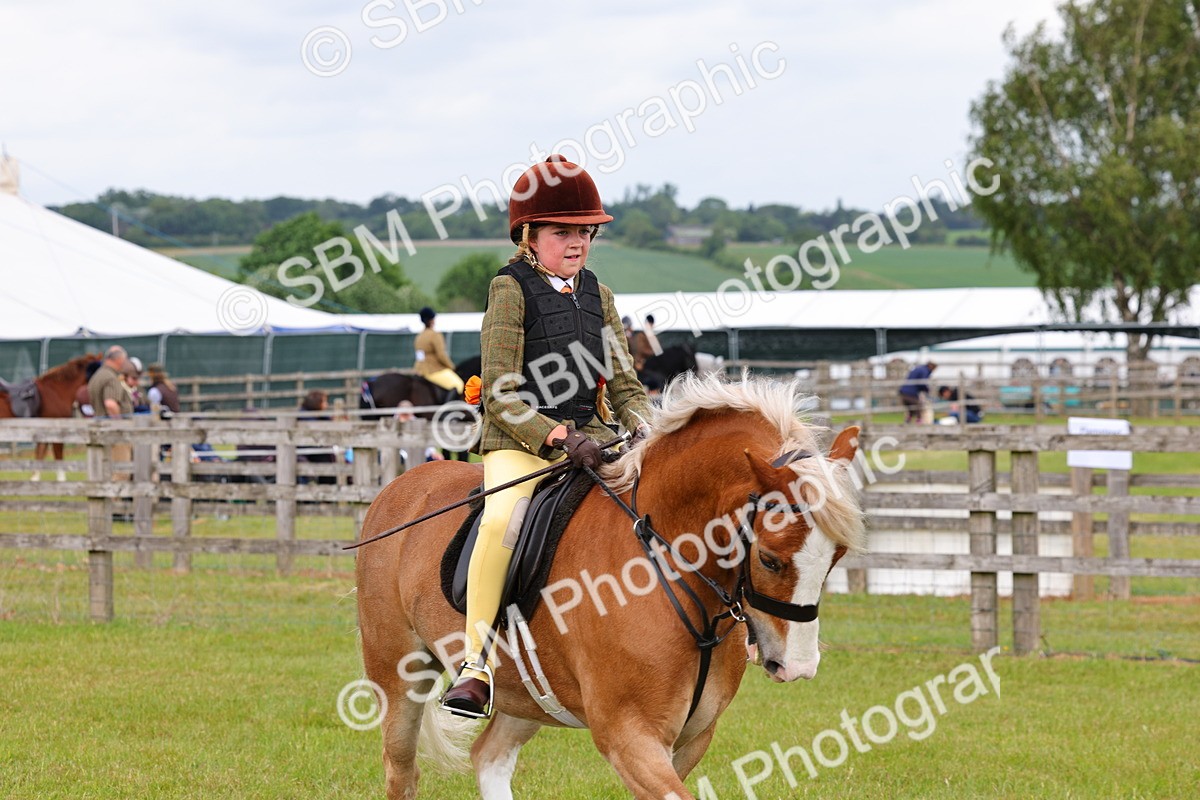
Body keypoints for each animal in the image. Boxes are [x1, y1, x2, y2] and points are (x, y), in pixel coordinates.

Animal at [355, 372, 866, 799]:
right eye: (769, 559)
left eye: (837, 557)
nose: (796, 667)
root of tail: (400, 486)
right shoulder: (630, 735)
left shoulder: (692, 737)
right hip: (399, 677)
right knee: (401, 772)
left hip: (529, 694)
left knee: (489, 756)